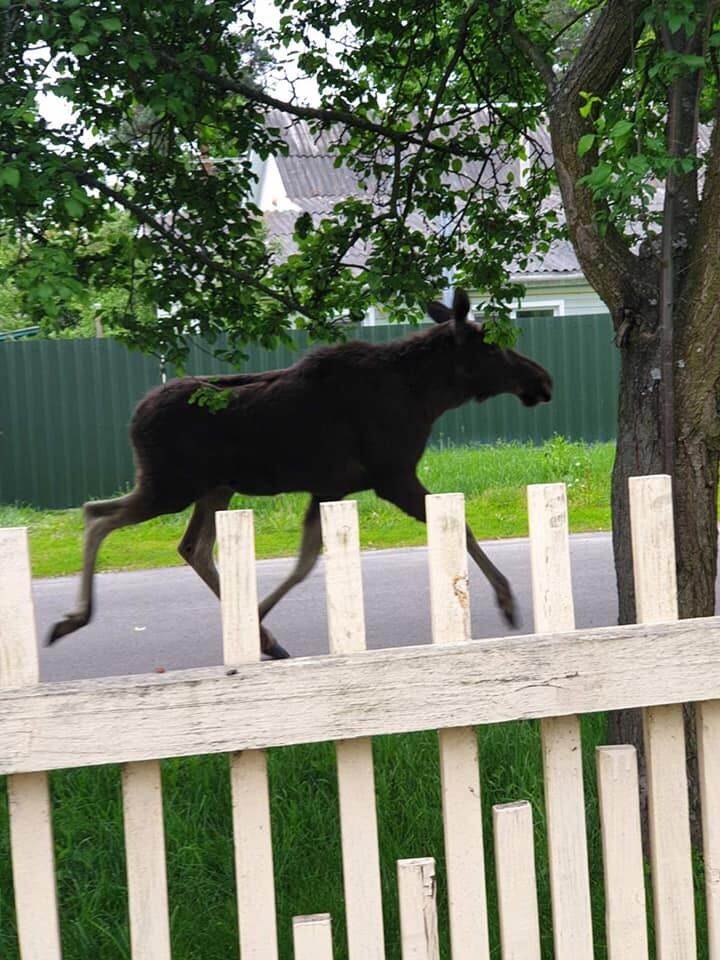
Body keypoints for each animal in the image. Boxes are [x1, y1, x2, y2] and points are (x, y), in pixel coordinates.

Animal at [49, 288, 552, 656]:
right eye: (493, 346)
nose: (542, 380)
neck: (428, 396)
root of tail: (134, 417)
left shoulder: (331, 488)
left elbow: (304, 562)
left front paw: (258, 623)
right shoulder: (391, 477)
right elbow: (462, 528)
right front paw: (507, 601)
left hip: (212, 489)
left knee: (192, 546)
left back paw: (265, 639)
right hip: (170, 486)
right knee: (97, 514)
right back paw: (72, 618)